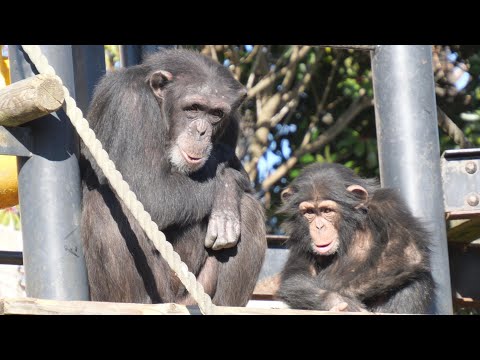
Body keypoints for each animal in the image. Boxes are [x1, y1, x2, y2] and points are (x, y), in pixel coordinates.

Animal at [79, 48, 266, 306]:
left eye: (216, 114)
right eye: (193, 108)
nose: (201, 131)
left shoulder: (232, 123)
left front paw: (228, 198)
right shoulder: (129, 102)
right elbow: (150, 192)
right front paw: (227, 185)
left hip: (193, 293)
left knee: (248, 210)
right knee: (108, 203)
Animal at [276, 162, 436, 314]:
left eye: (327, 211)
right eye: (309, 212)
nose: (319, 226)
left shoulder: (387, 205)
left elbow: (405, 251)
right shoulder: (298, 235)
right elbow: (296, 277)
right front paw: (336, 301)